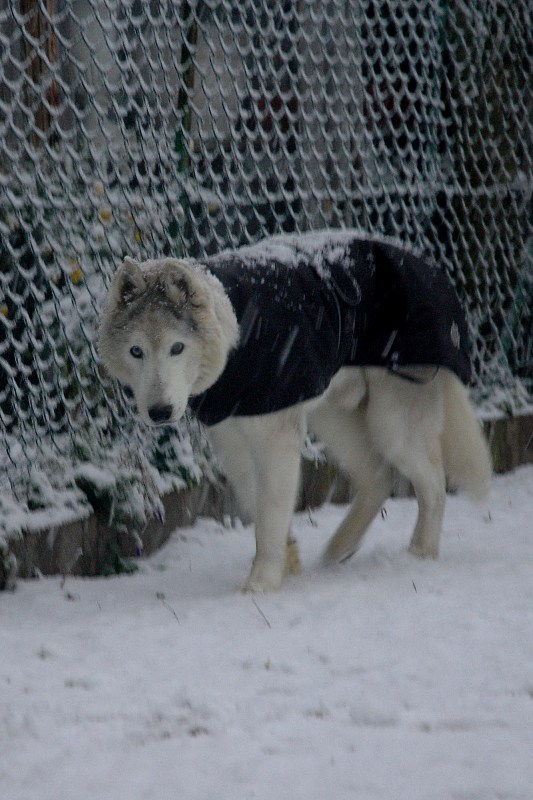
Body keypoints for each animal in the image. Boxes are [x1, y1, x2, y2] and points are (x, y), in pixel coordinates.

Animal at [100, 228, 490, 592]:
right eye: (137, 352)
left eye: (177, 348)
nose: (160, 411)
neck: (236, 332)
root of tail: (427, 264)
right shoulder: (233, 444)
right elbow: (261, 512)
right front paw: (289, 565)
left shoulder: (275, 441)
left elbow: (269, 520)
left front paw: (261, 585)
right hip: (332, 420)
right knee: (379, 478)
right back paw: (337, 550)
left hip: (392, 428)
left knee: (434, 486)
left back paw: (420, 553)